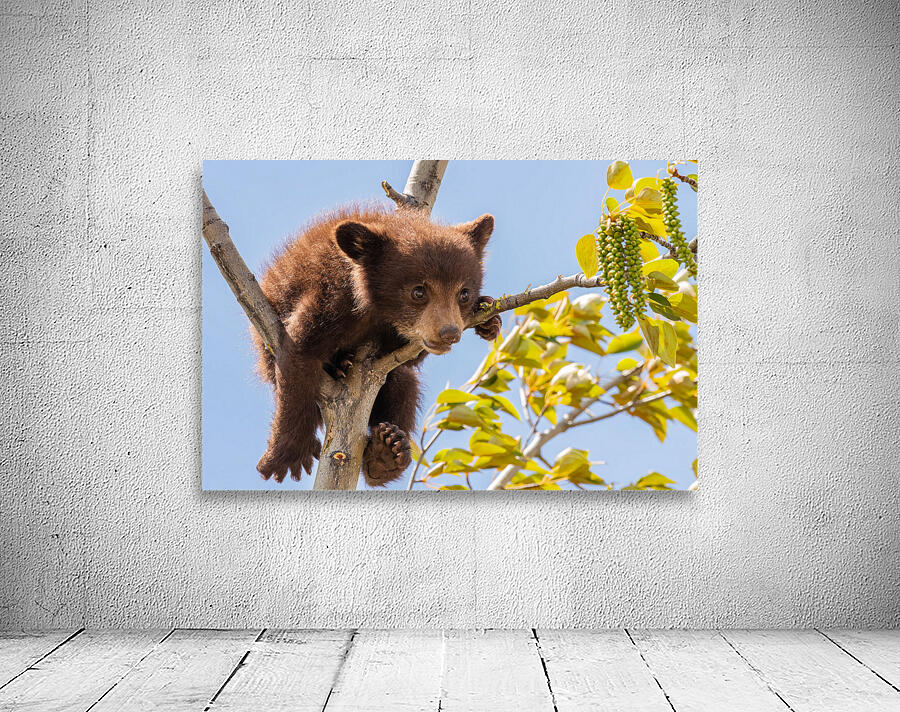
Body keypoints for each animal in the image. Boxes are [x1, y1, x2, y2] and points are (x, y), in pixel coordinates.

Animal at [252, 205, 502, 486]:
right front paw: (287, 455)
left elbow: (408, 359)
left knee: (404, 383)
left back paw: (385, 455)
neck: (373, 309)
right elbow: (299, 353)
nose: (449, 333)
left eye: (464, 293)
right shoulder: (328, 298)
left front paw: (488, 317)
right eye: (418, 291)